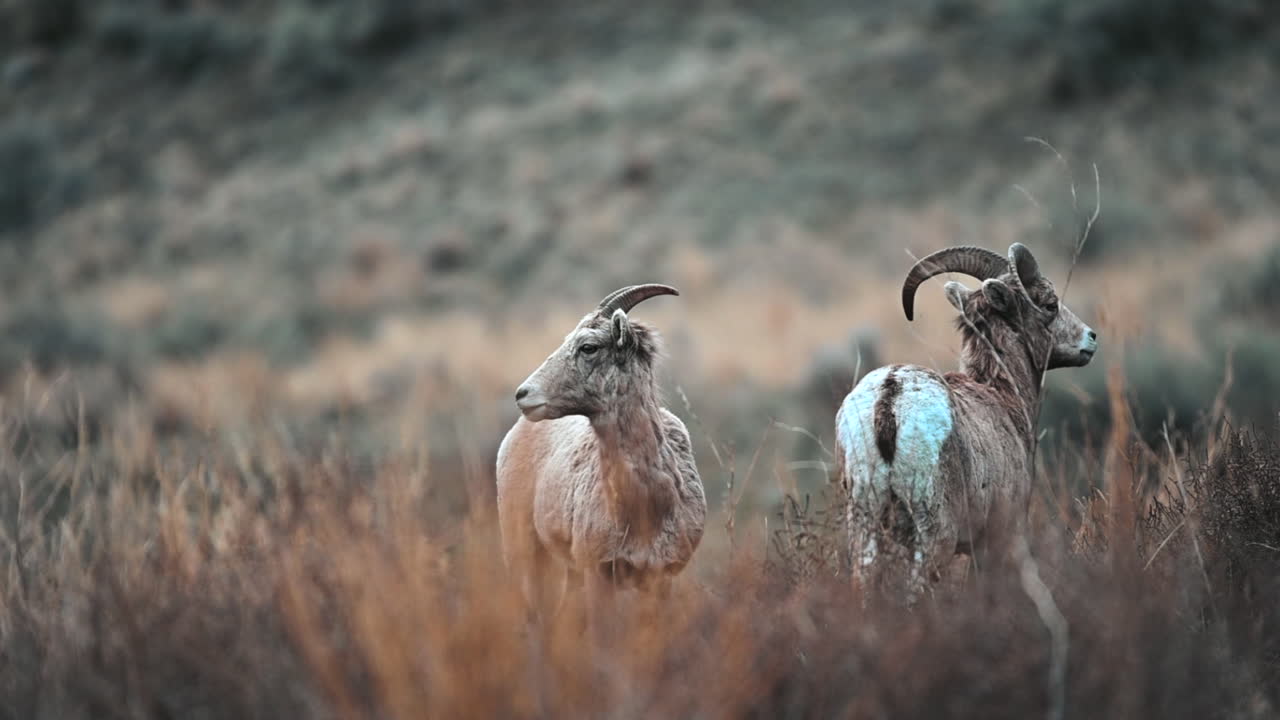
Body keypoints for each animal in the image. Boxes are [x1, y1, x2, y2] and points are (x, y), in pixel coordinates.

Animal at [495, 284, 706, 626]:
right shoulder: (599, 574)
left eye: (588, 347)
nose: (523, 394)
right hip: (523, 549)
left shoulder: (660, 579)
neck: (645, 509)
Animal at [834, 243, 1098, 597]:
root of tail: (890, 399)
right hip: (932, 537)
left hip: (866, 524)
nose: (1090, 338)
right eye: (1050, 304)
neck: (1002, 394)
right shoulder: (997, 539)